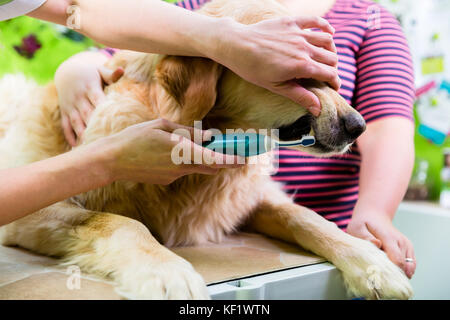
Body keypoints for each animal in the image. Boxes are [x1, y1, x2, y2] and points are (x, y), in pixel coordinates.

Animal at [0, 0, 412, 300]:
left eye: (333, 78)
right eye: (299, 77)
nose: (358, 127)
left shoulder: (247, 201)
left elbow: (305, 216)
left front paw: (373, 263)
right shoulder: (36, 213)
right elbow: (120, 222)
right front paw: (166, 271)